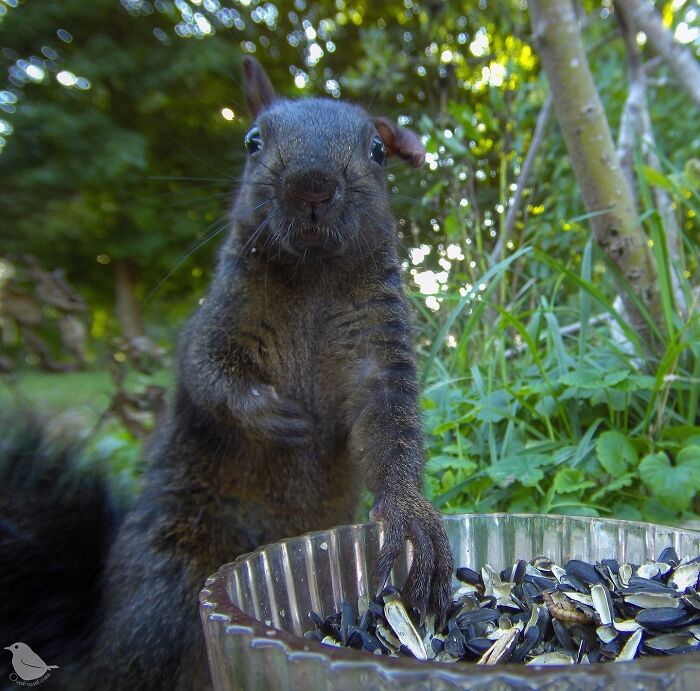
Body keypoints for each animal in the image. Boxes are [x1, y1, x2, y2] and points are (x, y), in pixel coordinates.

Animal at [0, 57, 453, 691]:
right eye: (252, 142)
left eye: (377, 151)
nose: (312, 185)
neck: (313, 278)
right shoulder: (213, 326)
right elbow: (208, 376)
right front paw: (274, 417)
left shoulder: (380, 352)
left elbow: (390, 428)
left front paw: (409, 515)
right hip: (165, 595)